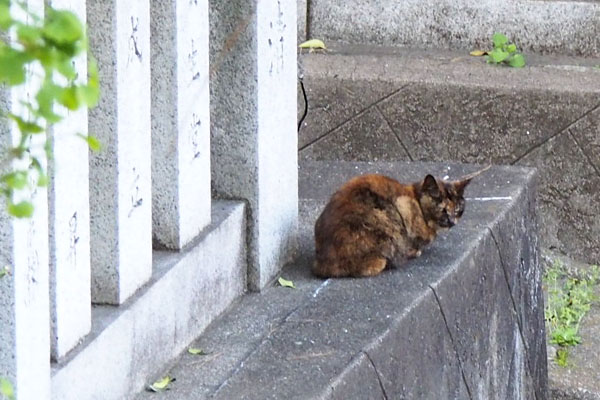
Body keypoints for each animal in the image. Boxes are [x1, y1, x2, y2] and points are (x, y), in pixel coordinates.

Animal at [312, 166, 490, 278]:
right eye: (443, 210)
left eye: (458, 209)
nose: (452, 222)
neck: (417, 201)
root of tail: (325, 264)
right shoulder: (405, 206)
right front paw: (415, 250)